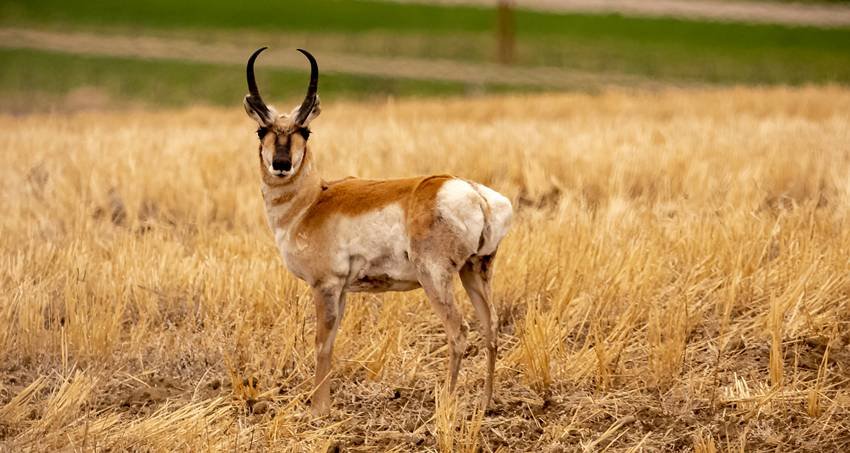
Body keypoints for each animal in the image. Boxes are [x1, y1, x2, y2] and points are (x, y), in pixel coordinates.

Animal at [243, 47, 513, 416]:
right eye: (261, 131)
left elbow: (320, 343)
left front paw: (318, 411)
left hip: (436, 278)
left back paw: (445, 403)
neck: (312, 200)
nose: (281, 165)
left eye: (305, 131)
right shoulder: (341, 290)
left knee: (459, 332)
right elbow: (331, 341)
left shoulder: (325, 286)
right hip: (476, 272)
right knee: (491, 328)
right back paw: (484, 405)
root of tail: (473, 193)